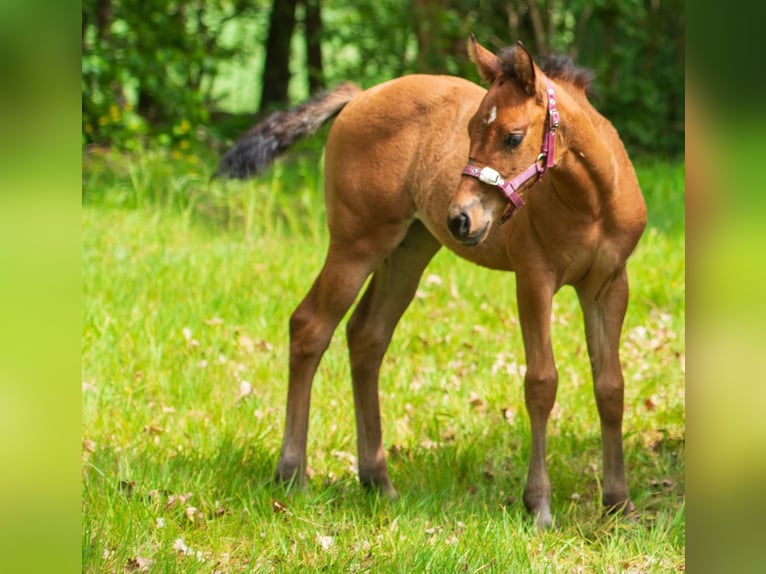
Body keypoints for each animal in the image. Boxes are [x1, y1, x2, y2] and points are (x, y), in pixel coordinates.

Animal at [216, 37, 647, 529]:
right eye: (470, 130)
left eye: (513, 136)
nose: (460, 218)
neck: (591, 202)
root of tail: (359, 96)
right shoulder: (534, 279)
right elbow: (541, 382)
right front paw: (538, 505)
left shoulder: (609, 285)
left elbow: (611, 386)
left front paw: (619, 503)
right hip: (356, 242)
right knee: (310, 325)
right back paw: (291, 473)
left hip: (408, 249)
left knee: (367, 335)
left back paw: (377, 481)